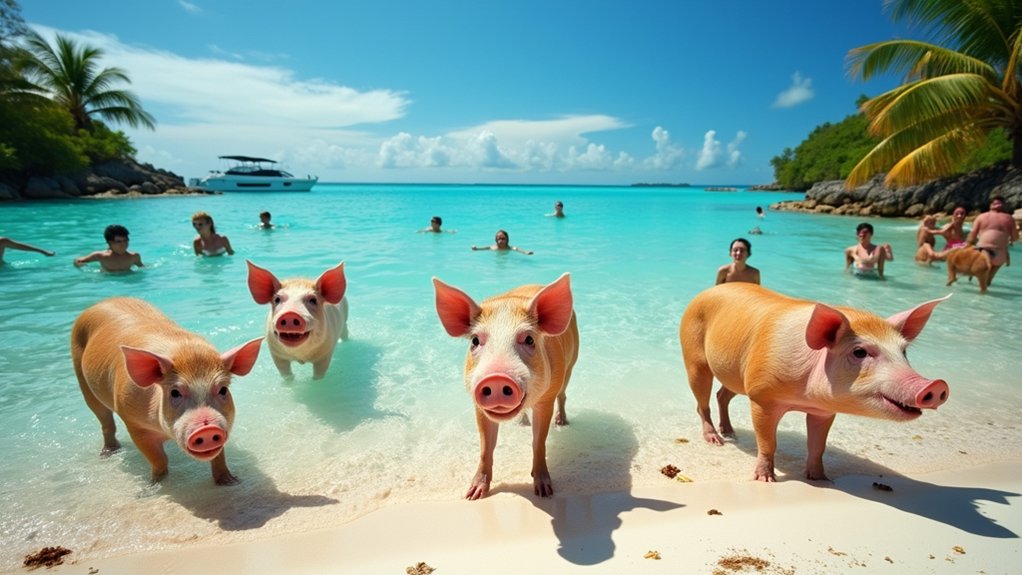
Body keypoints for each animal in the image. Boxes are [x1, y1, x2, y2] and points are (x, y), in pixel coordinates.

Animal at [70, 297, 263, 485]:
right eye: (175, 393)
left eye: (223, 390)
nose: (207, 429)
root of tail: (101, 302)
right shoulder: (133, 421)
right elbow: (158, 458)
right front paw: (155, 482)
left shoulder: (224, 422)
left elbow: (219, 455)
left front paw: (231, 481)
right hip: (81, 377)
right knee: (104, 420)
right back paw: (107, 453)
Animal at [433, 273, 579, 500]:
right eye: (475, 341)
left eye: (529, 339)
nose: (496, 377)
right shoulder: (478, 406)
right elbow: (485, 447)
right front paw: (473, 495)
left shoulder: (545, 399)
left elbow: (539, 442)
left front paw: (544, 492)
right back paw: (522, 423)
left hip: (571, 365)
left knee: (562, 394)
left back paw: (561, 422)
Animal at [680, 283, 949, 482]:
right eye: (859, 352)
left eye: (904, 351)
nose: (936, 385)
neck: (802, 398)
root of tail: (706, 291)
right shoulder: (762, 396)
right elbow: (767, 442)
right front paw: (765, 479)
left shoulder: (823, 411)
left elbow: (818, 445)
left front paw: (822, 480)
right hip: (694, 356)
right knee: (702, 399)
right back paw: (716, 440)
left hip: (736, 375)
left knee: (722, 395)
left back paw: (730, 432)